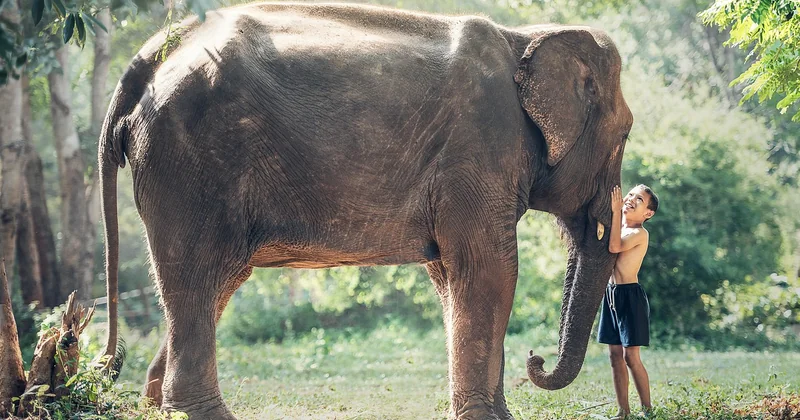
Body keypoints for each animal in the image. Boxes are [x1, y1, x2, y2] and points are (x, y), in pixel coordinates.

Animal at [97, 2, 632, 419]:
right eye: (626, 133)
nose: (536, 360)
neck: (525, 37)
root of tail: (149, 56)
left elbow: (451, 276)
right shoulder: (479, 149)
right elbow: (489, 270)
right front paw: (490, 418)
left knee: (216, 281)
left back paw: (156, 404)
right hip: (190, 160)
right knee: (198, 272)